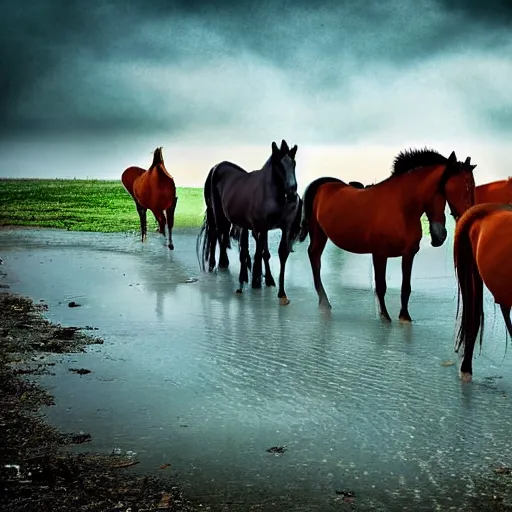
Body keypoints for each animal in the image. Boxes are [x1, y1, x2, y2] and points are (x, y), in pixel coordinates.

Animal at [195, 139, 300, 304]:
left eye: (293, 163)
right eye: (279, 165)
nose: (292, 192)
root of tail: (215, 167)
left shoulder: (283, 228)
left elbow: (278, 253)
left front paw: (279, 290)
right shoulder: (260, 228)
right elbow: (260, 253)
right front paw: (257, 282)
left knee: (225, 236)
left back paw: (229, 267)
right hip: (217, 214)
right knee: (215, 234)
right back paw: (213, 265)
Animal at [298, 148, 478, 322]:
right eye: (459, 187)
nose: (440, 236)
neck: (401, 207)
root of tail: (324, 184)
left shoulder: (409, 254)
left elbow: (406, 287)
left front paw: (404, 316)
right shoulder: (379, 254)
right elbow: (381, 286)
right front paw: (384, 316)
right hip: (318, 233)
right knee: (315, 258)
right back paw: (324, 302)